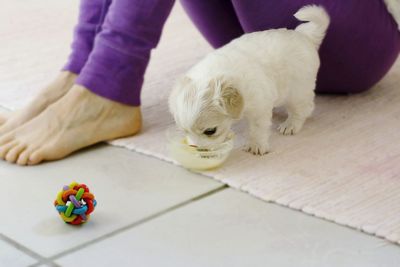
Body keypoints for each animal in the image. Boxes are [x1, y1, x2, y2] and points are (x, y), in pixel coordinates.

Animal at [169, 4, 328, 155]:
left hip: (297, 90)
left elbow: (257, 128)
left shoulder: (259, 107)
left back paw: (290, 125)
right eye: (184, 131)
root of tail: (305, 36)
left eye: (210, 131)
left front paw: (256, 146)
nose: (196, 148)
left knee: (303, 109)